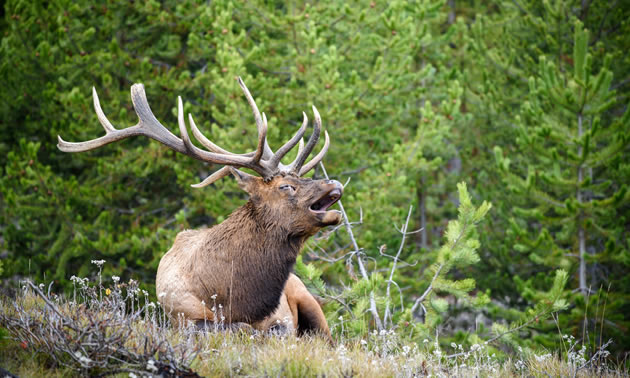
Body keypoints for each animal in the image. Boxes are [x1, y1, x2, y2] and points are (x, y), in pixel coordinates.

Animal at [58, 78, 346, 342]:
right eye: (285, 186)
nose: (335, 183)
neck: (235, 299)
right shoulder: (184, 316)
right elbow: (240, 329)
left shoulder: (281, 317)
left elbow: (273, 331)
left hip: (305, 296)